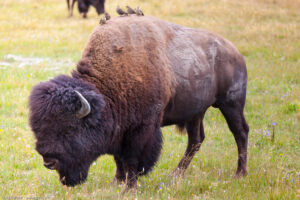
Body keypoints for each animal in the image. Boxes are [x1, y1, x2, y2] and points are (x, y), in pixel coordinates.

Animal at [28, 14, 248, 190]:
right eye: (38, 129)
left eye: (68, 130)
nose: (48, 161)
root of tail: (235, 52)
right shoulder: (119, 130)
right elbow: (118, 159)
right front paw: (116, 182)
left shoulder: (141, 129)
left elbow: (132, 160)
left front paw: (129, 188)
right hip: (196, 112)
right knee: (195, 140)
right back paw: (176, 175)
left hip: (231, 104)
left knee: (240, 132)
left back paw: (240, 173)